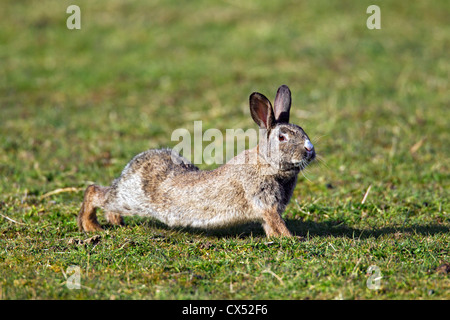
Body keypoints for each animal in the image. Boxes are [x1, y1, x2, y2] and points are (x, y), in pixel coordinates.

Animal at [77, 85, 314, 238]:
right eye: (282, 137)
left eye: (303, 131)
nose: (310, 150)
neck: (267, 163)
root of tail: (133, 166)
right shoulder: (265, 201)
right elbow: (277, 222)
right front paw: (293, 238)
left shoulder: (267, 209)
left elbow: (270, 226)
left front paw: (280, 238)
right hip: (130, 198)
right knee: (95, 192)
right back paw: (91, 227)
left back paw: (115, 221)